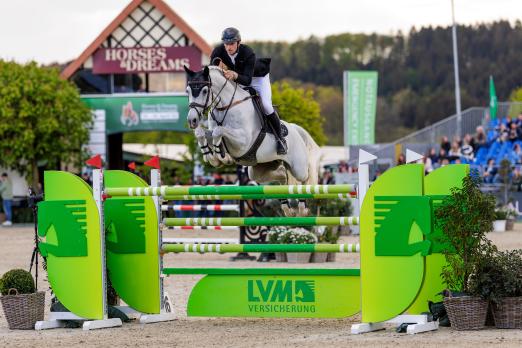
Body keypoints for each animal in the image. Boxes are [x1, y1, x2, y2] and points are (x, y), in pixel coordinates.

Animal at [183, 65, 320, 216]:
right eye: (188, 91)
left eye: (204, 91)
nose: (192, 120)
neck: (226, 106)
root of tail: (296, 129)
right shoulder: (212, 132)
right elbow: (202, 133)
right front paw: (212, 156)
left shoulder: (243, 141)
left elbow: (219, 131)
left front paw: (221, 156)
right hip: (261, 169)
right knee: (282, 177)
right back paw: (287, 208)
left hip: (298, 167)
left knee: (304, 179)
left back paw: (302, 208)